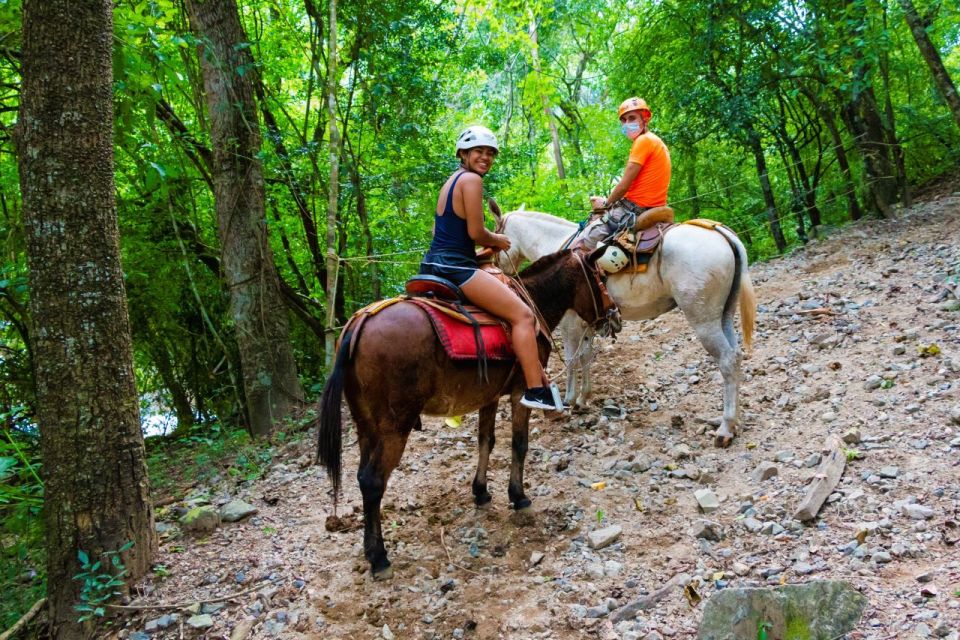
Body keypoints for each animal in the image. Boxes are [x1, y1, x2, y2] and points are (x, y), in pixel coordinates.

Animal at [492, 209, 752, 444]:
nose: (498, 276)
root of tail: (718, 231)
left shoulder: (570, 322)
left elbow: (572, 359)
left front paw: (568, 400)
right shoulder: (589, 322)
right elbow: (586, 356)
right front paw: (583, 400)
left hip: (704, 320)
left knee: (727, 360)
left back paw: (726, 427)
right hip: (723, 315)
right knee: (736, 355)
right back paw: (731, 421)